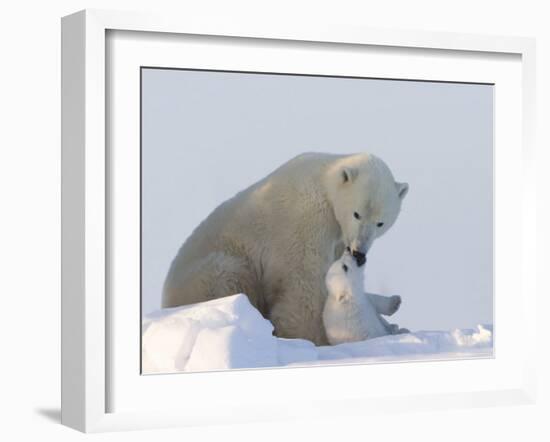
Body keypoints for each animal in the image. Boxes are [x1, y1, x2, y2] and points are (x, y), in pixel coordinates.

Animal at [162, 152, 408, 346]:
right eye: (356, 214)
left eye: (381, 223)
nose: (359, 251)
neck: (324, 183)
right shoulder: (307, 219)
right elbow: (303, 281)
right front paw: (313, 337)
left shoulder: (337, 237)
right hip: (208, 273)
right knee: (228, 273)